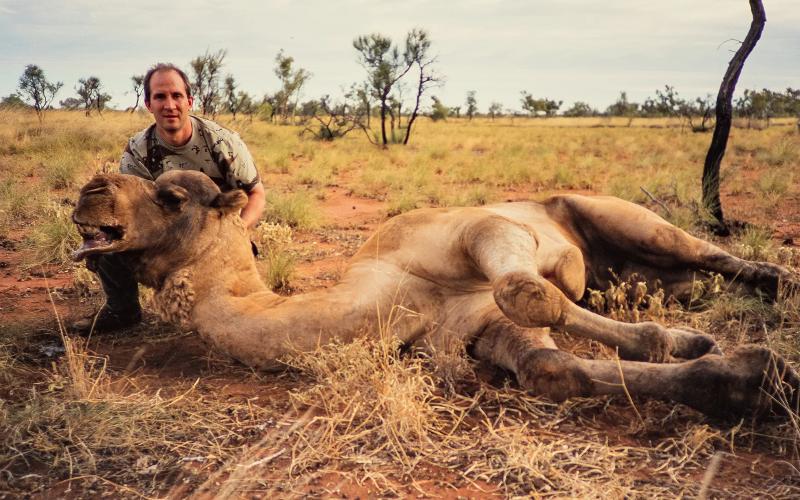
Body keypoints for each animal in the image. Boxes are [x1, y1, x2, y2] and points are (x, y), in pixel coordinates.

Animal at [71, 170, 800, 419]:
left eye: (171, 194)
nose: (90, 189)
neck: (381, 302)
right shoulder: (471, 332)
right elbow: (549, 366)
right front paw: (745, 380)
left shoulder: (473, 230)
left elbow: (529, 289)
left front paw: (700, 348)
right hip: (642, 273)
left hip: (625, 216)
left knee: (712, 252)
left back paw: (779, 283)